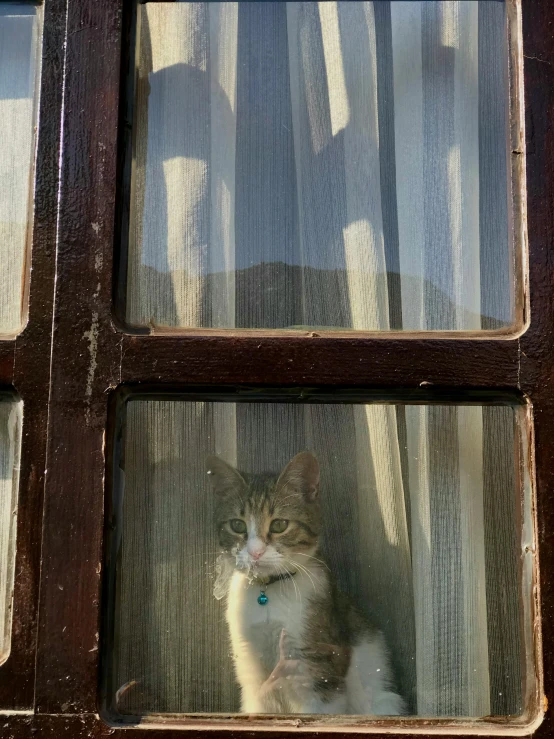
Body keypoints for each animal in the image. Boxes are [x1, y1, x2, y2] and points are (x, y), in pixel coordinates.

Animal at [205, 450, 404, 716]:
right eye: (237, 525)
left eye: (279, 524)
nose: (255, 553)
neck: (267, 593)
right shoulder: (252, 673)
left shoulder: (319, 670)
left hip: (384, 701)